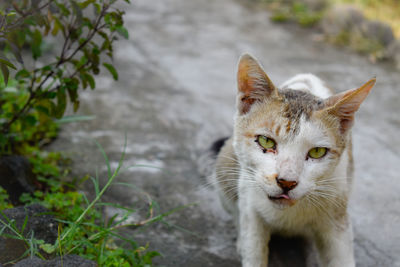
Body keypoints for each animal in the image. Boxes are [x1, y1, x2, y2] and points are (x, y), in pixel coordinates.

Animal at [212, 54, 376, 267]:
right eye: (266, 141)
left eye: (317, 152)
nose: (287, 182)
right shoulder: (249, 201)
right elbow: (253, 247)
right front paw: (248, 248)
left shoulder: (338, 209)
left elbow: (340, 255)